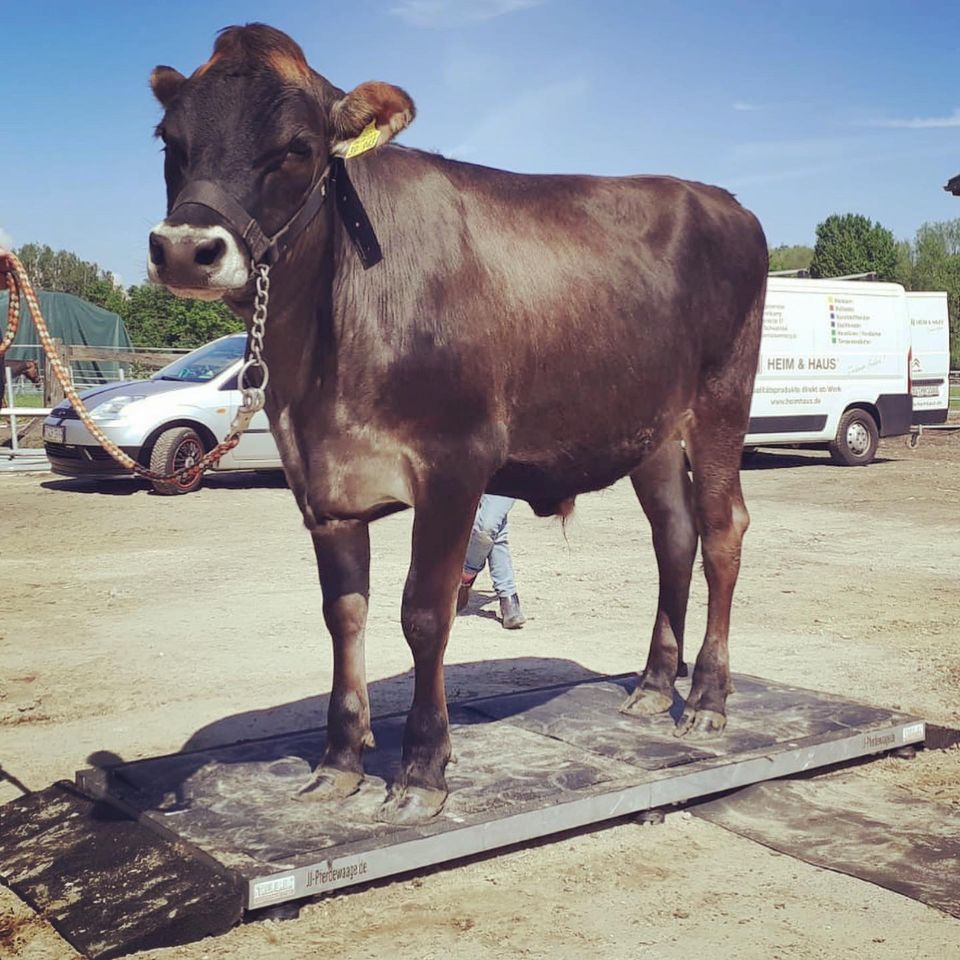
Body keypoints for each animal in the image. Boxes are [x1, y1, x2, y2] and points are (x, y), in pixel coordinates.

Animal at [146, 24, 768, 824]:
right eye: (170, 140)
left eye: (297, 146)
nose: (185, 248)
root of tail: (719, 197)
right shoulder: (318, 480)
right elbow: (343, 613)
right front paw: (339, 762)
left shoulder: (455, 465)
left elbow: (424, 614)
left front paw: (422, 768)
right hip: (650, 432)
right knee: (675, 536)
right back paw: (656, 686)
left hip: (722, 400)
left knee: (722, 532)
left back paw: (709, 699)